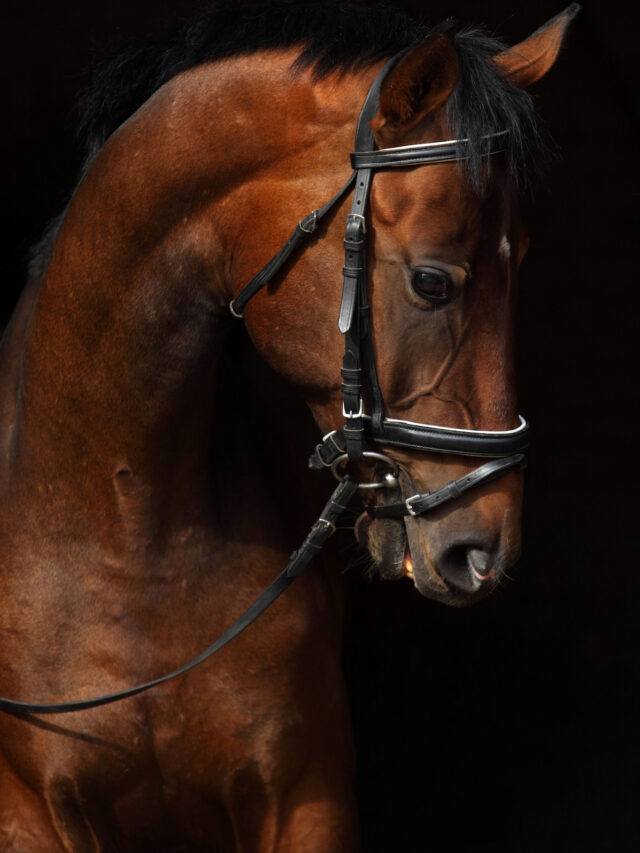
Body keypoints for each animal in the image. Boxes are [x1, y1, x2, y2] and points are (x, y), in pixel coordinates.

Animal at [0, 2, 577, 850]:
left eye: (522, 262)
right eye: (431, 281)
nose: (483, 550)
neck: (122, 519)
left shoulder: (307, 796)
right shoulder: (33, 814)